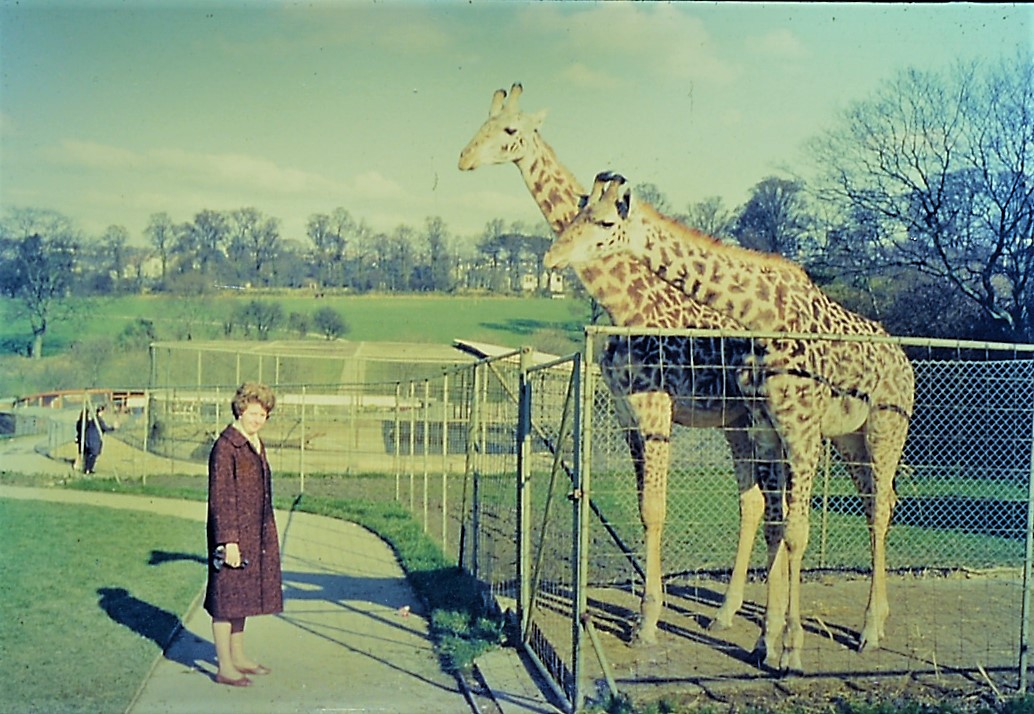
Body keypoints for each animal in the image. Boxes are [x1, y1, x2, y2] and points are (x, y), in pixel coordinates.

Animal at [458, 83, 781, 643]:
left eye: (510, 129)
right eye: (483, 121)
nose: (463, 159)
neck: (624, 303)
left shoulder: (656, 411)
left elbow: (654, 510)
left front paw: (647, 622)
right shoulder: (629, 414)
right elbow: (641, 508)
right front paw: (640, 615)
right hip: (735, 423)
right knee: (756, 501)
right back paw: (726, 613)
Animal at [545, 173, 916, 673]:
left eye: (603, 221)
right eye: (577, 213)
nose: (551, 257)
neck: (763, 317)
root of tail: (903, 360)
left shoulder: (801, 432)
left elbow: (795, 534)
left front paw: (792, 652)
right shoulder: (766, 429)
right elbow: (776, 525)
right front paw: (765, 642)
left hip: (884, 430)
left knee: (879, 510)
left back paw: (870, 632)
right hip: (849, 440)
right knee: (877, 501)